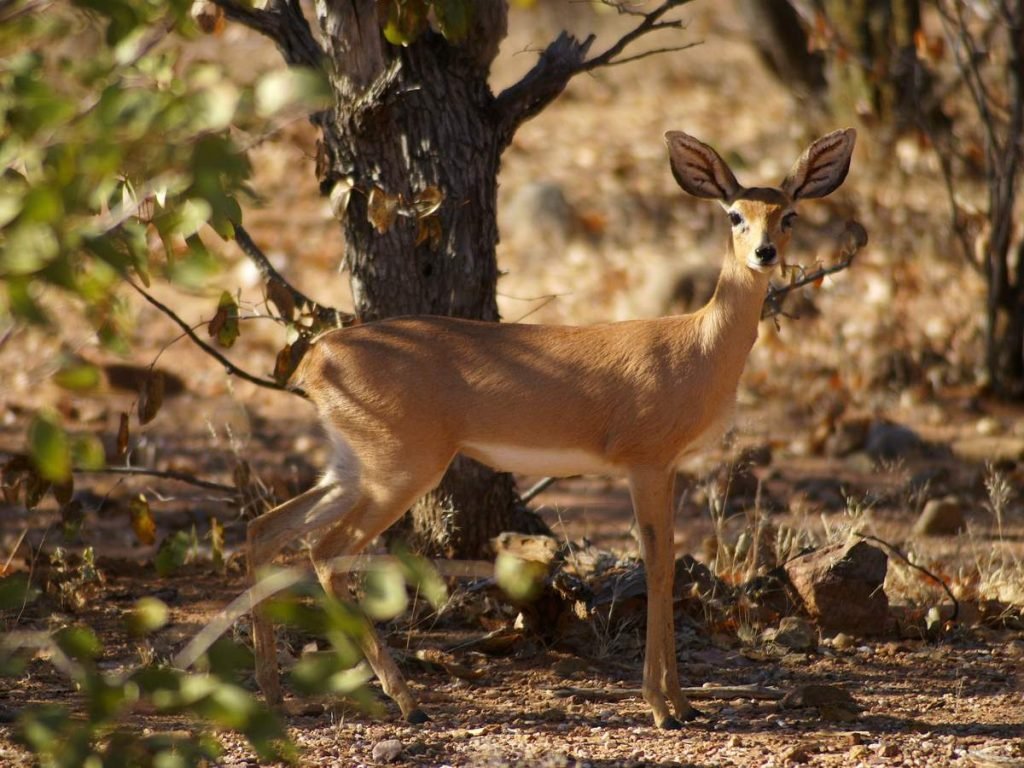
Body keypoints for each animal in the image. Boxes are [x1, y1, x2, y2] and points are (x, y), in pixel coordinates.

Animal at [247, 129, 856, 729]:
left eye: (789, 214)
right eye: (734, 214)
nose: (764, 253)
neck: (698, 346)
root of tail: (317, 356)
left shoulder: (667, 468)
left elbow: (665, 566)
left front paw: (684, 703)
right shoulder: (645, 464)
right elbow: (658, 567)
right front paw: (663, 709)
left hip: (352, 466)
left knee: (267, 530)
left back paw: (276, 697)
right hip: (400, 471)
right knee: (326, 551)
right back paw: (407, 703)